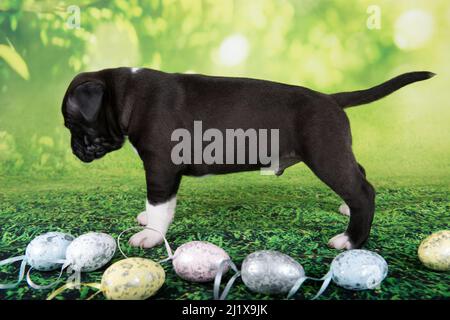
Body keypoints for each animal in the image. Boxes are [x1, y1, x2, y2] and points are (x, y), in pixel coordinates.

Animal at [61, 69, 434, 250]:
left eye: (72, 123)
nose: (74, 150)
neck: (129, 93)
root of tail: (331, 99)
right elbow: (157, 203)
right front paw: (146, 220)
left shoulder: (160, 167)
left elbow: (159, 204)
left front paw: (151, 235)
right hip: (337, 150)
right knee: (360, 175)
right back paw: (346, 209)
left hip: (326, 154)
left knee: (363, 191)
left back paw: (351, 240)